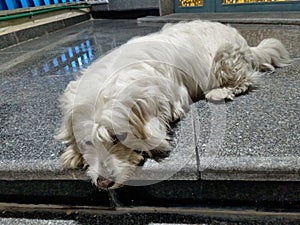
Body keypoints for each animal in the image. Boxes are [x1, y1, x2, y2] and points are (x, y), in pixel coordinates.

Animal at [55, 21, 290, 190]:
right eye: (86, 142)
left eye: (117, 137)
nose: (104, 182)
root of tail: (246, 44)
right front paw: (73, 153)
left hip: (224, 58)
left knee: (246, 79)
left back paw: (219, 91)